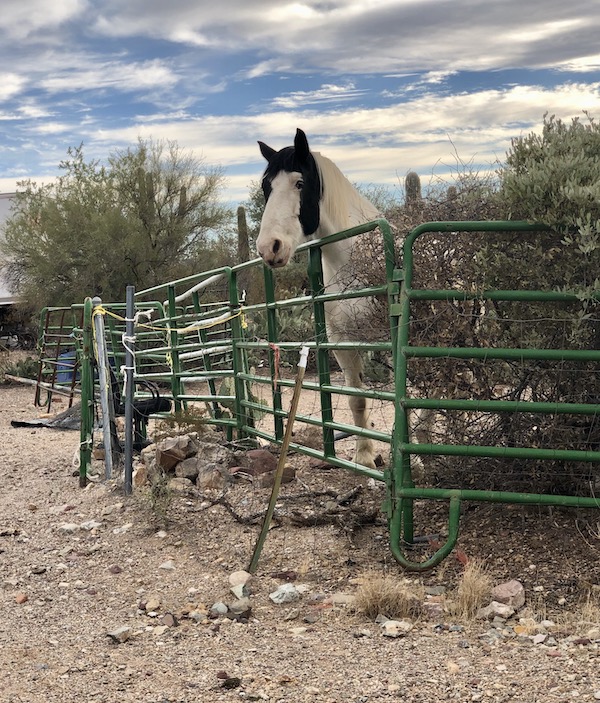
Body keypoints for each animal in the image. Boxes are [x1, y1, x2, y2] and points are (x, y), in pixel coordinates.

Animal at [256, 128, 381, 469]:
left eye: (300, 184)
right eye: (266, 188)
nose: (268, 247)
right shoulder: (342, 341)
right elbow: (357, 399)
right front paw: (365, 457)